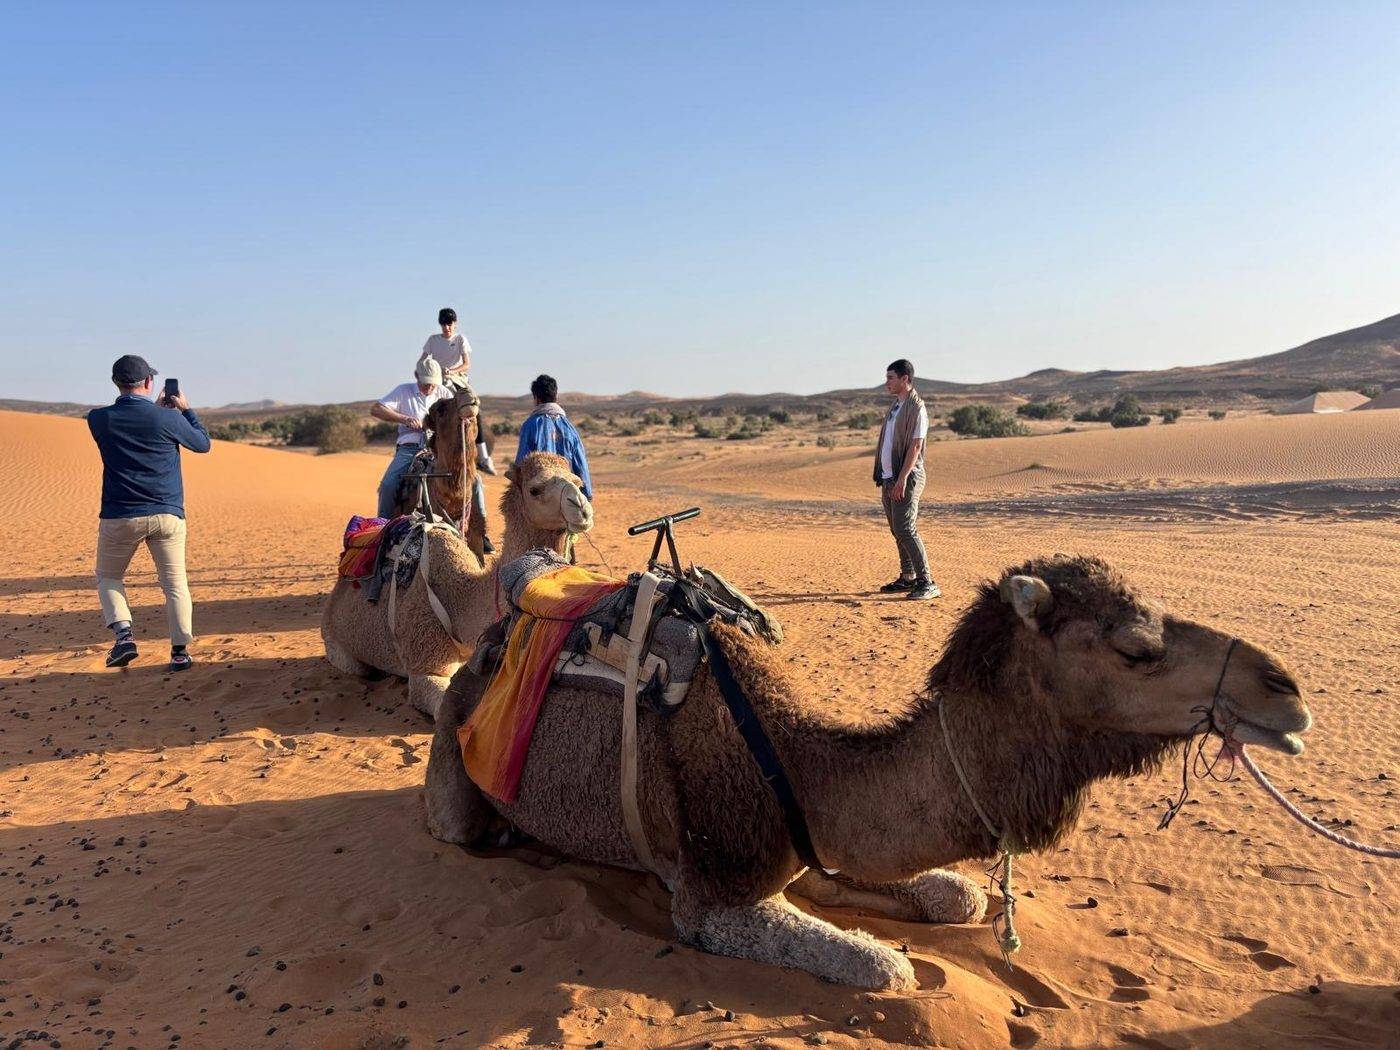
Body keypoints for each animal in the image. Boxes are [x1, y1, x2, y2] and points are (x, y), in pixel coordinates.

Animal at [322, 452, 593, 719]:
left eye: (579, 483)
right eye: (535, 490)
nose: (581, 508)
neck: (460, 600)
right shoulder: (425, 667)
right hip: (336, 645)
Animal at [425, 554, 1312, 990]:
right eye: (1135, 646)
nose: (1286, 691)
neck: (797, 757)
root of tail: (483, 652)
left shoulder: (808, 840)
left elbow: (954, 893)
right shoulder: (710, 896)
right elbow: (883, 965)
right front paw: (880, 949)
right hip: (452, 760)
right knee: (458, 824)